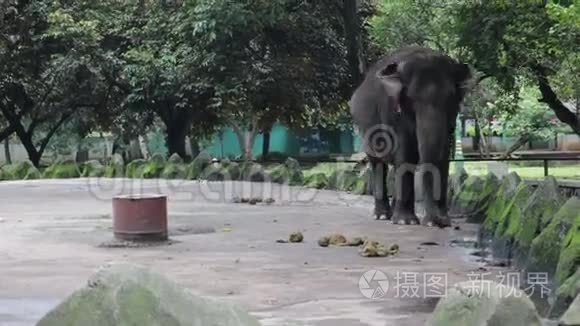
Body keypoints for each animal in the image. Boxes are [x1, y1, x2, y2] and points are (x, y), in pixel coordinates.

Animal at [348, 45, 472, 228]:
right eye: (411, 99)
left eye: (451, 98)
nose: (439, 222)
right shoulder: (393, 111)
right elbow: (406, 152)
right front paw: (406, 222)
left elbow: (443, 155)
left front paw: (440, 220)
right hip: (364, 128)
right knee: (378, 164)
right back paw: (382, 216)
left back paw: (392, 214)